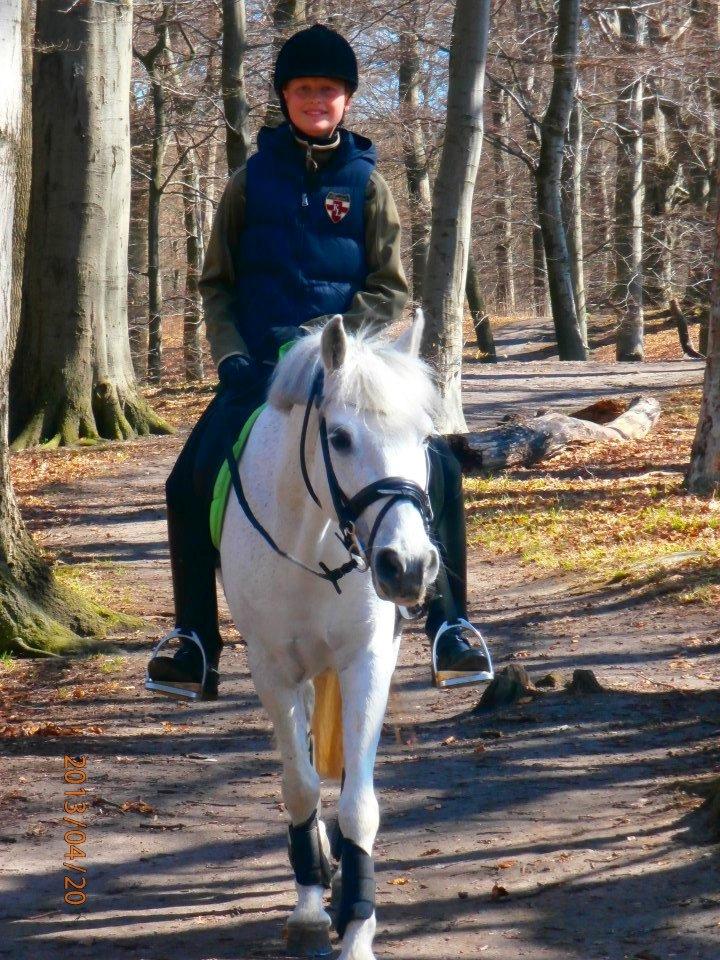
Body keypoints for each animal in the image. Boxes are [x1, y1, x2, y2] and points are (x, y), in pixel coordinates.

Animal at [221, 312, 438, 956]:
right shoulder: (272, 670)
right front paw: (312, 907)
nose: (408, 567)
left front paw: (358, 925)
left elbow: (359, 802)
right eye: (339, 438)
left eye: (426, 438)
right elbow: (300, 785)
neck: (313, 546)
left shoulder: (366, 660)